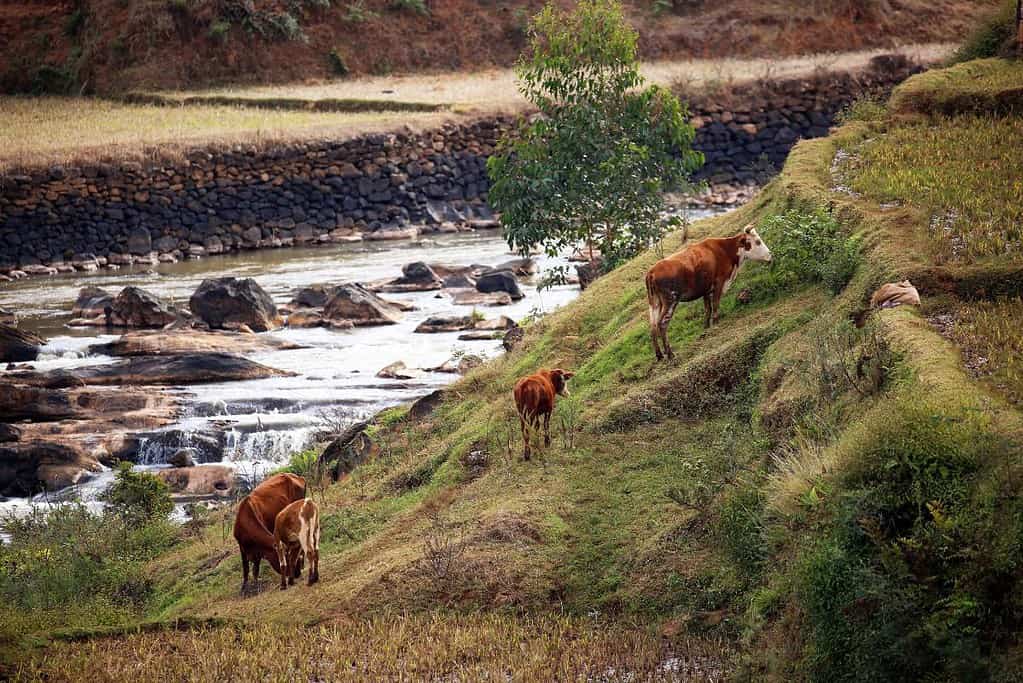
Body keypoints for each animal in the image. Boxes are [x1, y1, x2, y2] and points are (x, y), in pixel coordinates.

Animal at [642, 224, 769, 361]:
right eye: (758, 241)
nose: (770, 255)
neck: (725, 250)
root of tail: (651, 272)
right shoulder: (719, 282)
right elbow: (715, 304)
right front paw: (716, 323)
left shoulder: (706, 290)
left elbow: (708, 309)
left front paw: (706, 327)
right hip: (670, 300)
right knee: (662, 324)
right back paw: (670, 353)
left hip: (654, 303)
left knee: (653, 326)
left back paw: (659, 355)